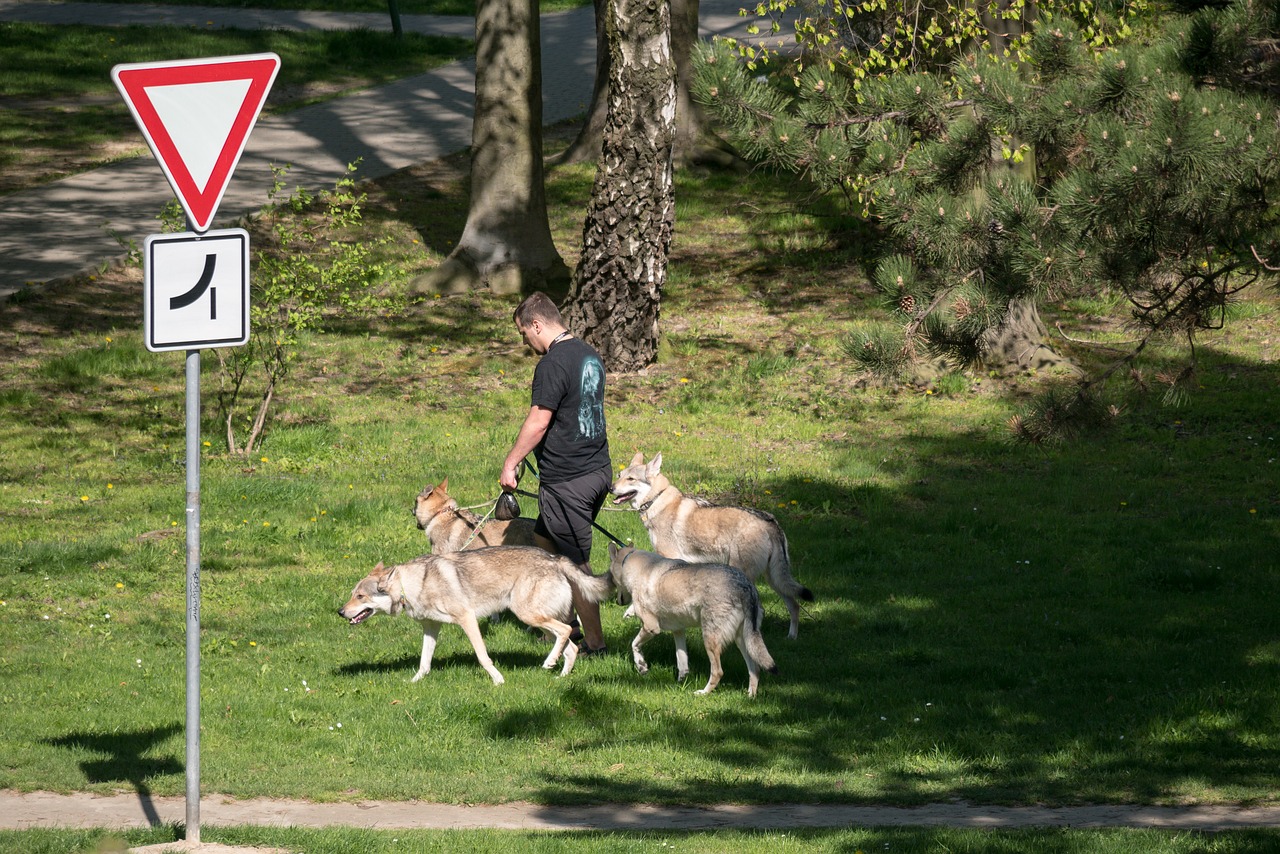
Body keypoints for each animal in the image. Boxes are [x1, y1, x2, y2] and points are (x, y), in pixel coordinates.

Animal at [340, 550, 609, 686]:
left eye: (361, 596)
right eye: (352, 594)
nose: (340, 612)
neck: (412, 585)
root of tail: (555, 559)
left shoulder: (467, 619)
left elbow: (482, 656)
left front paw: (498, 680)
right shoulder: (431, 628)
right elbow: (424, 662)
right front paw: (414, 682)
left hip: (528, 615)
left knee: (565, 632)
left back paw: (549, 662)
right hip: (537, 621)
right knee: (571, 647)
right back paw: (560, 675)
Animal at [604, 545, 773, 696]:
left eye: (612, 578)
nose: (618, 602)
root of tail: (745, 586)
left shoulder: (651, 628)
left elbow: (634, 645)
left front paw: (642, 667)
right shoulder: (678, 631)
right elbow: (682, 661)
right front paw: (680, 683)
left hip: (710, 639)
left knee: (718, 672)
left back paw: (703, 693)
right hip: (743, 641)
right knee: (755, 669)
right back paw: (750, 696)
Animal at [606, 453, 808, 640]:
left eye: (631, 479)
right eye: (619, 475)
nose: (610, 488)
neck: (657, 500)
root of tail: (771, 522)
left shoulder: (668, 560)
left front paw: (632, 610)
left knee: (764, 610)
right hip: (774, 579)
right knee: (794, 605)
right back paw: (792, 637)